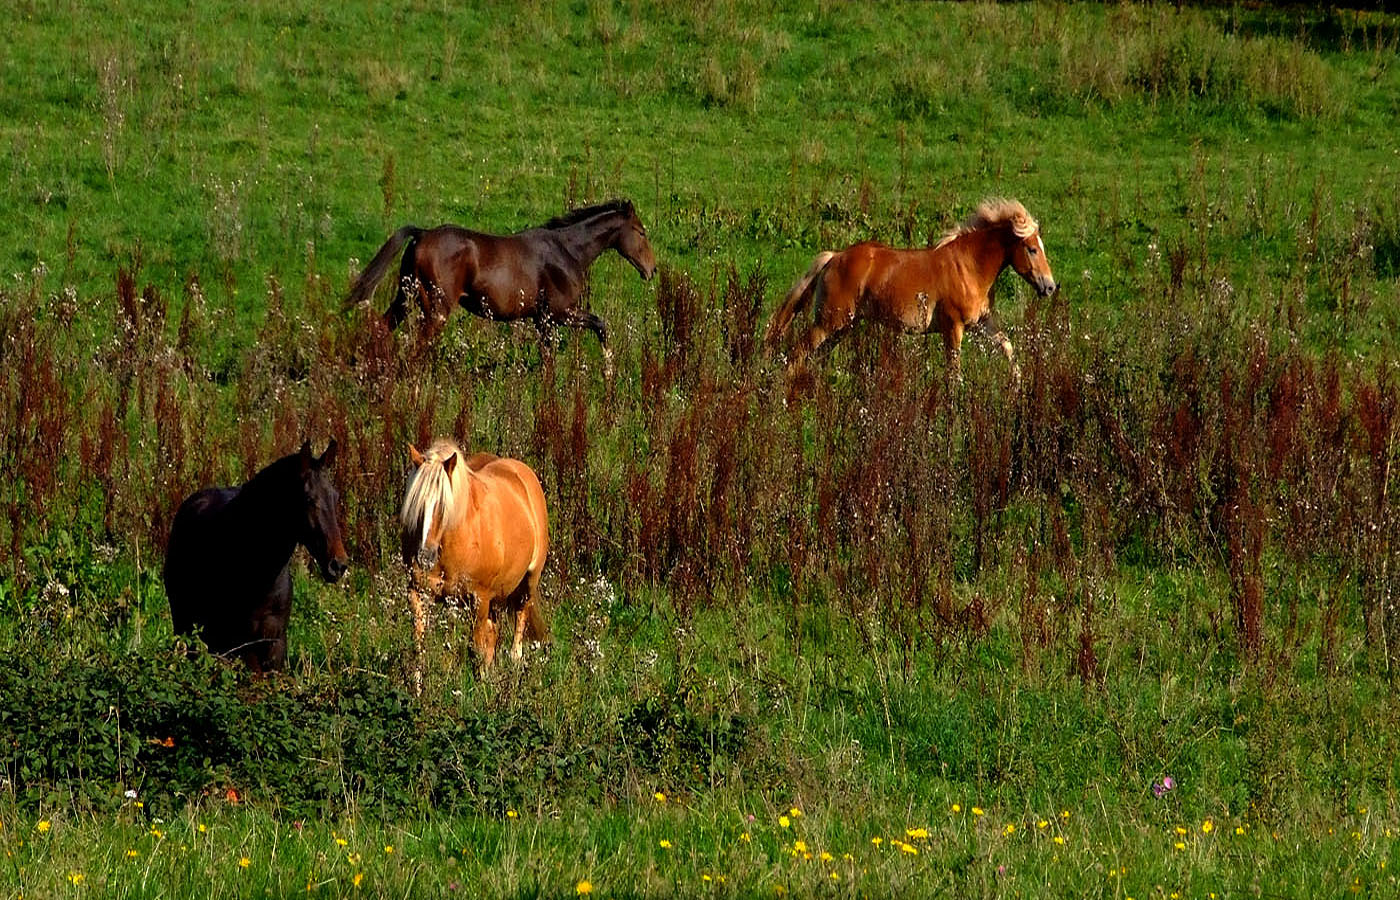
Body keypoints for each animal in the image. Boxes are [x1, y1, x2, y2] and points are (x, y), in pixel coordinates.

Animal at [163, 439, 350, 671]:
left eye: (335, 496)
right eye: (308, 499)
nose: (338, 564)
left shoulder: (275, 644)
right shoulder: (243, 646)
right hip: (187, 624)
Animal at [347, 200, 658, 369]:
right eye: (641, 231)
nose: (652, 270)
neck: (567, 251)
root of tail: (421, 235)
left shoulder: (543, 320)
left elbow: (548, 360)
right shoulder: (559, 314)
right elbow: (600, 324)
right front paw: (608, 370)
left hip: (405, 297)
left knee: (380, 329)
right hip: (435, 310)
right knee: (412, 352)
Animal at [397, 439, 548, 694]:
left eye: (442, 505)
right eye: (416, 504)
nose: (424, 556)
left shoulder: (479, 598)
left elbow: (476, 648)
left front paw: (478, 694)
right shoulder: (417, 593)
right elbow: (418, 645)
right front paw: (417, 692)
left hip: (528, 582)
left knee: (519, 622)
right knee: (493, 633)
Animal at [767, 197, 1058, 380]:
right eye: (1032, 249)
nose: (1050, 287)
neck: (969, 267)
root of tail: (834, 257)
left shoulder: (981, 322)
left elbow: (1007, 348)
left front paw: (1018, 387)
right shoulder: (953, 327)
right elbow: (954, 372)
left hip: (842, 327)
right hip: (829, 323)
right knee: (796, 355)